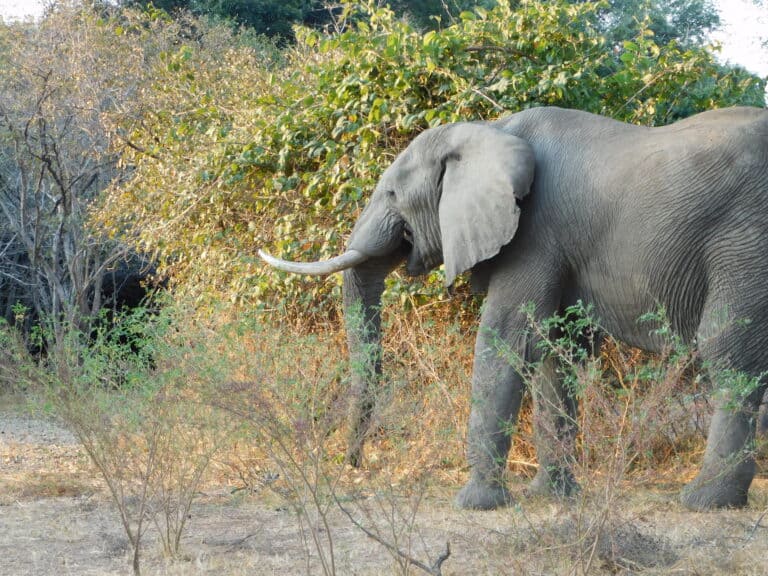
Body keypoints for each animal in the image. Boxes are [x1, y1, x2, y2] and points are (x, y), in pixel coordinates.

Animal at [260, 106, 768, 511]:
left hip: (742, 244)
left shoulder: (534, 233)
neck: (488, 131)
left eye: (390, 194)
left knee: (728, 352)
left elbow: (508, 339)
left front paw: (476, 504)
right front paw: (551, 496)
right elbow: (556, 352)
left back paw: (704, 501)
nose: (354, 464)